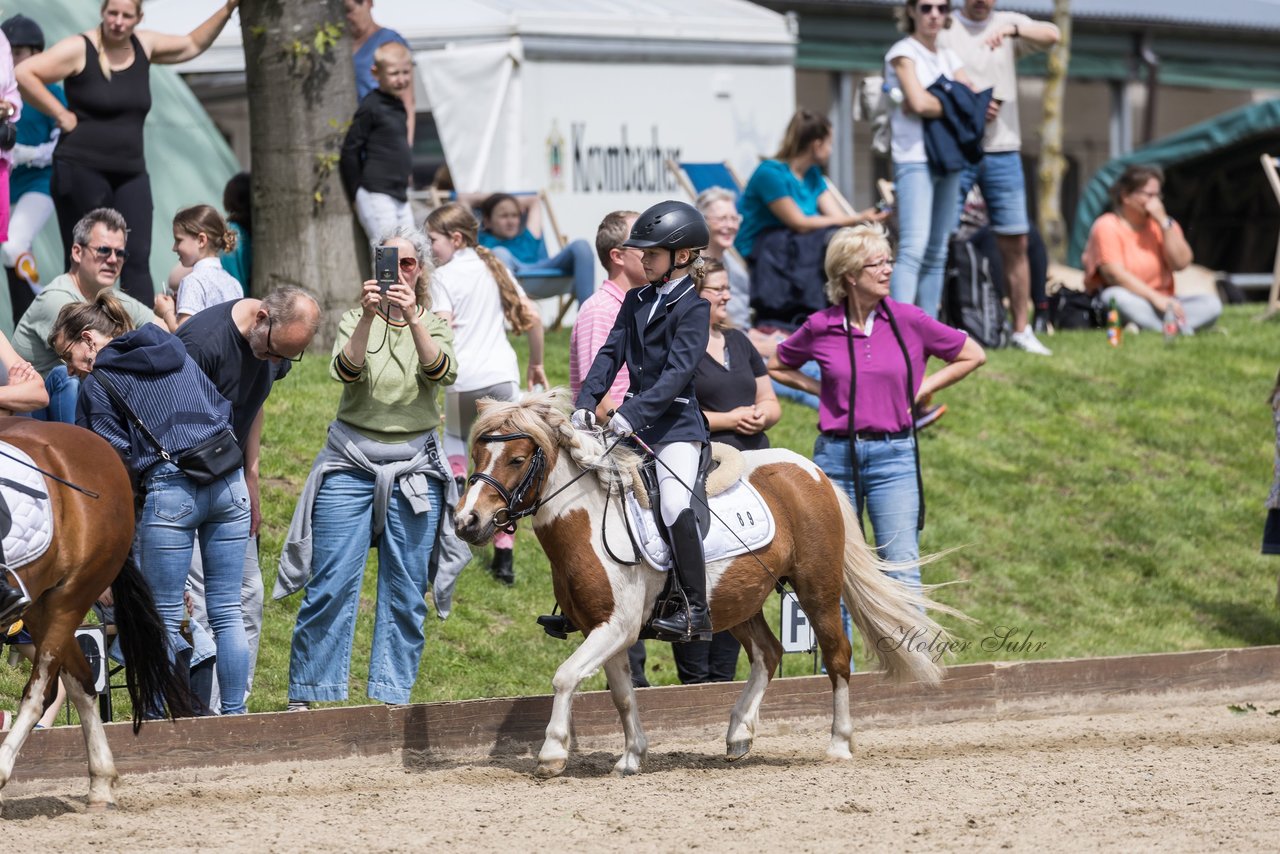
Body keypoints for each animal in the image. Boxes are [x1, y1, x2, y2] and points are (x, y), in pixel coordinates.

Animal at [0, 419, 189, 814]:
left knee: (41, 692)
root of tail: (97, 446)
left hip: (70, 598)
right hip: (42, 608)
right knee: (83, 682)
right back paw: (100, 782)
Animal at [455, 394, 957, 783]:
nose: (466, 522)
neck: (588, 521)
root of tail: (812, 471)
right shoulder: (605, 629)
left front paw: (552, 754)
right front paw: (631, 757)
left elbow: (564, 677)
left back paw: (837, 745)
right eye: (477, 457)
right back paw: (739, 735)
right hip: (736, 601)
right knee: (768, 653)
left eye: (518, 459)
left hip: (817, 589)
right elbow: (621, 695)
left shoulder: (616, 628)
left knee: (837, 657)